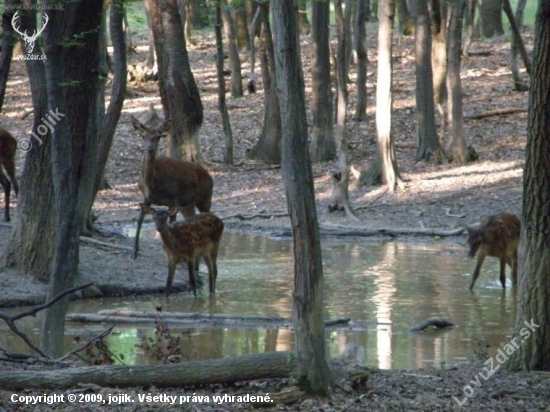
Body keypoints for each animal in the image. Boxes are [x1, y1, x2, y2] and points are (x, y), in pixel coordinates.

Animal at [131, 114, 213, 260]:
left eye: (158, 136)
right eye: (143, 136)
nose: (150, 149)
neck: (152, 185)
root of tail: (210, 176)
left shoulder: (173, 198)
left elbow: (171, 223)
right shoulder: (146, 197)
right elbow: (140, 219)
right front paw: (134, 252)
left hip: (205, 198)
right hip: (188, 204)